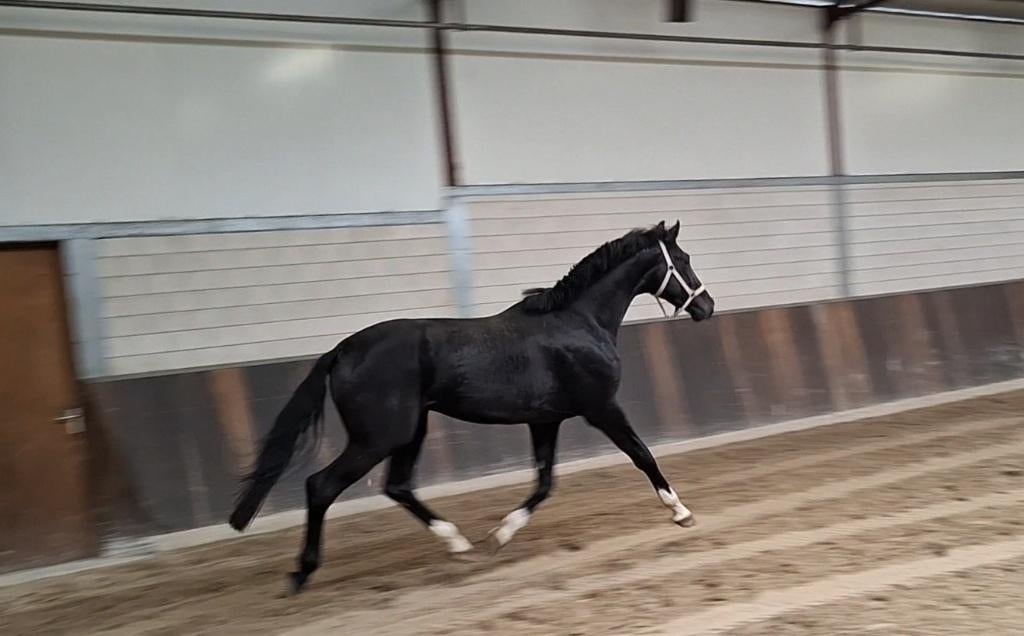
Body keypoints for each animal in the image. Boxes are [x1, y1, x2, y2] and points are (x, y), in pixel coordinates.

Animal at [228, 220, 715, 593]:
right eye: (684, 260)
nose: (707, 307)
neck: (579, 322)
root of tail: (343, 350)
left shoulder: (545, 421)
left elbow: (544, 483)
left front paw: (499, 536)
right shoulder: (601, 408)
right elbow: (641, 454)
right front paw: (682, 512)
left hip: (411, 430)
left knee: (397, 486)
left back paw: (459, 545)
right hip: (379, 437)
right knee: (322, 486)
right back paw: (302, 573)